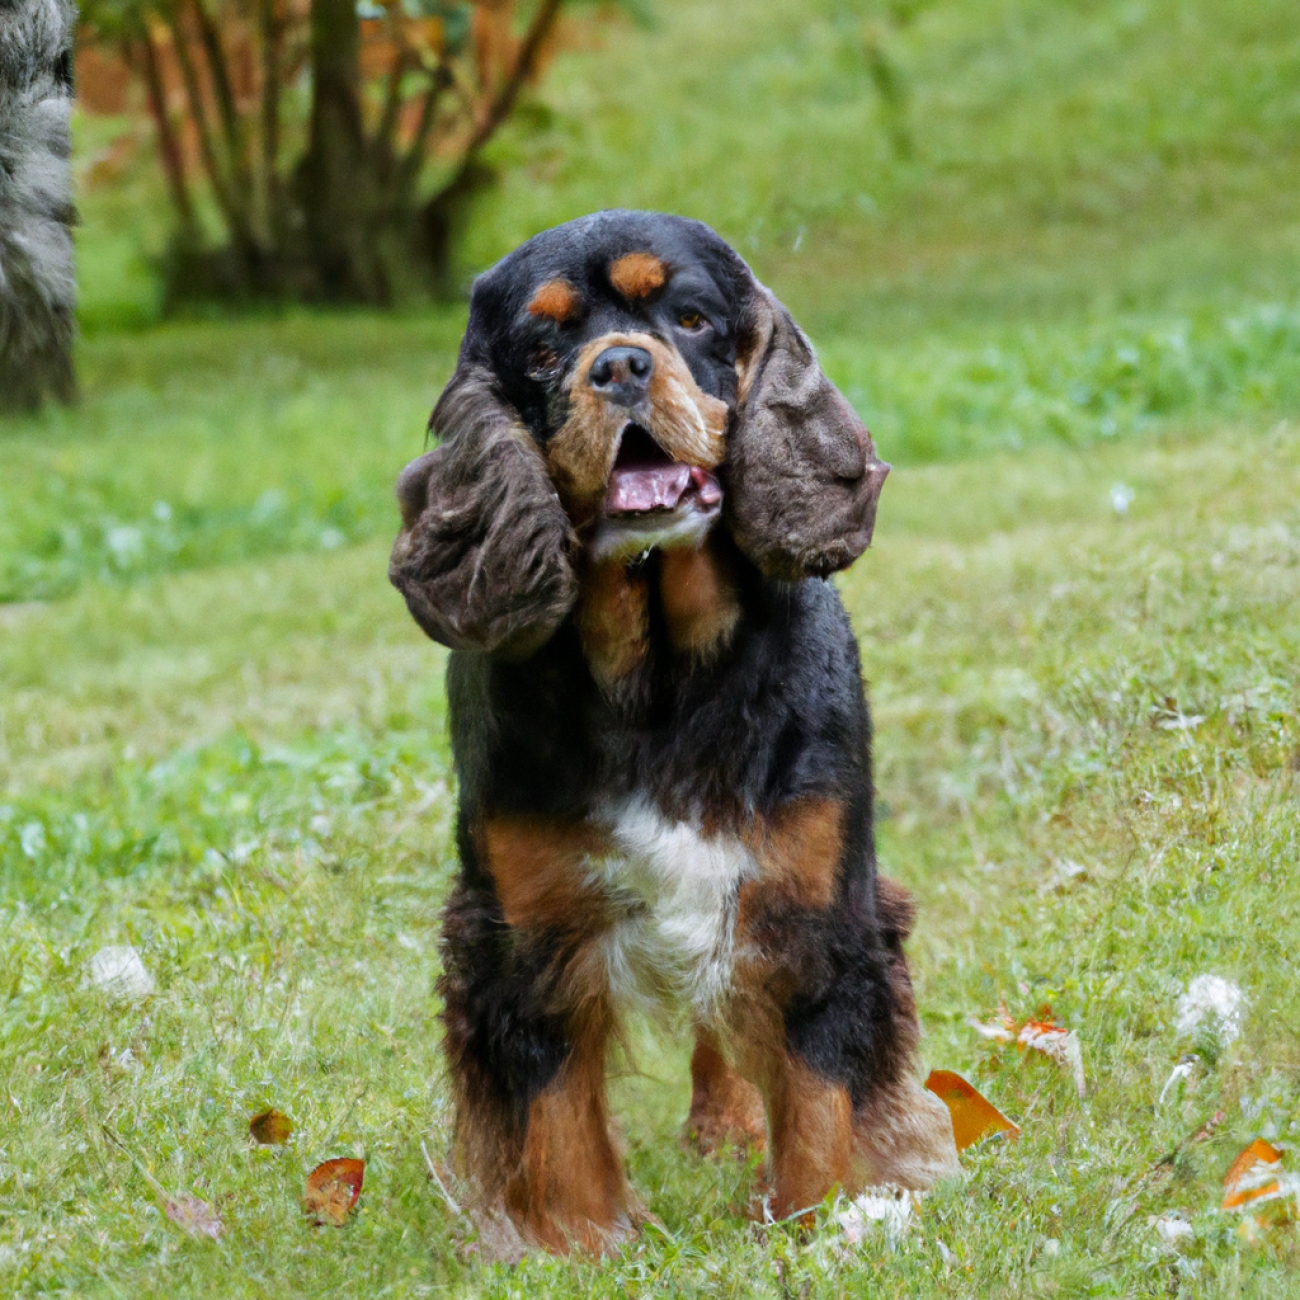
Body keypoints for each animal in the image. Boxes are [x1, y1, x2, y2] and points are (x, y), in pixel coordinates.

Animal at [384, 213, 956, 1258]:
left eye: (690, 318)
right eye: (542, 348)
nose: (617, 366)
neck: (657, 678)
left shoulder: (816, 906)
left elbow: (818, 1095)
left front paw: (814, 1222)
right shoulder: (524, 933)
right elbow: (555, 1114)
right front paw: (578, 1246)